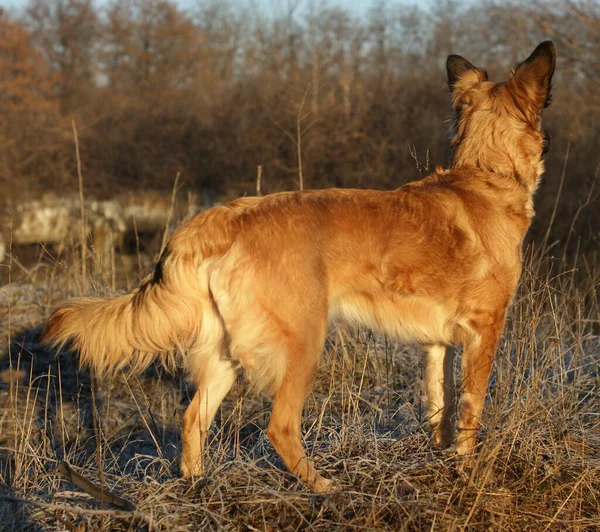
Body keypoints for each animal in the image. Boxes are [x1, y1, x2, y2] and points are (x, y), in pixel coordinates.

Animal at [44, 42, 556, 494]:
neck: (486, 175)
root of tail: (222, 218)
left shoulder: (437, 343)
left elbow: (440, 407)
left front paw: (441, 459)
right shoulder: (484, 333)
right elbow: (471, 410)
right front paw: (466, 470)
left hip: (226, 352)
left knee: (193, 418)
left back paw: (197, 486)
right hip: (304, 343)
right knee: (280, 427)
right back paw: (325, 487)